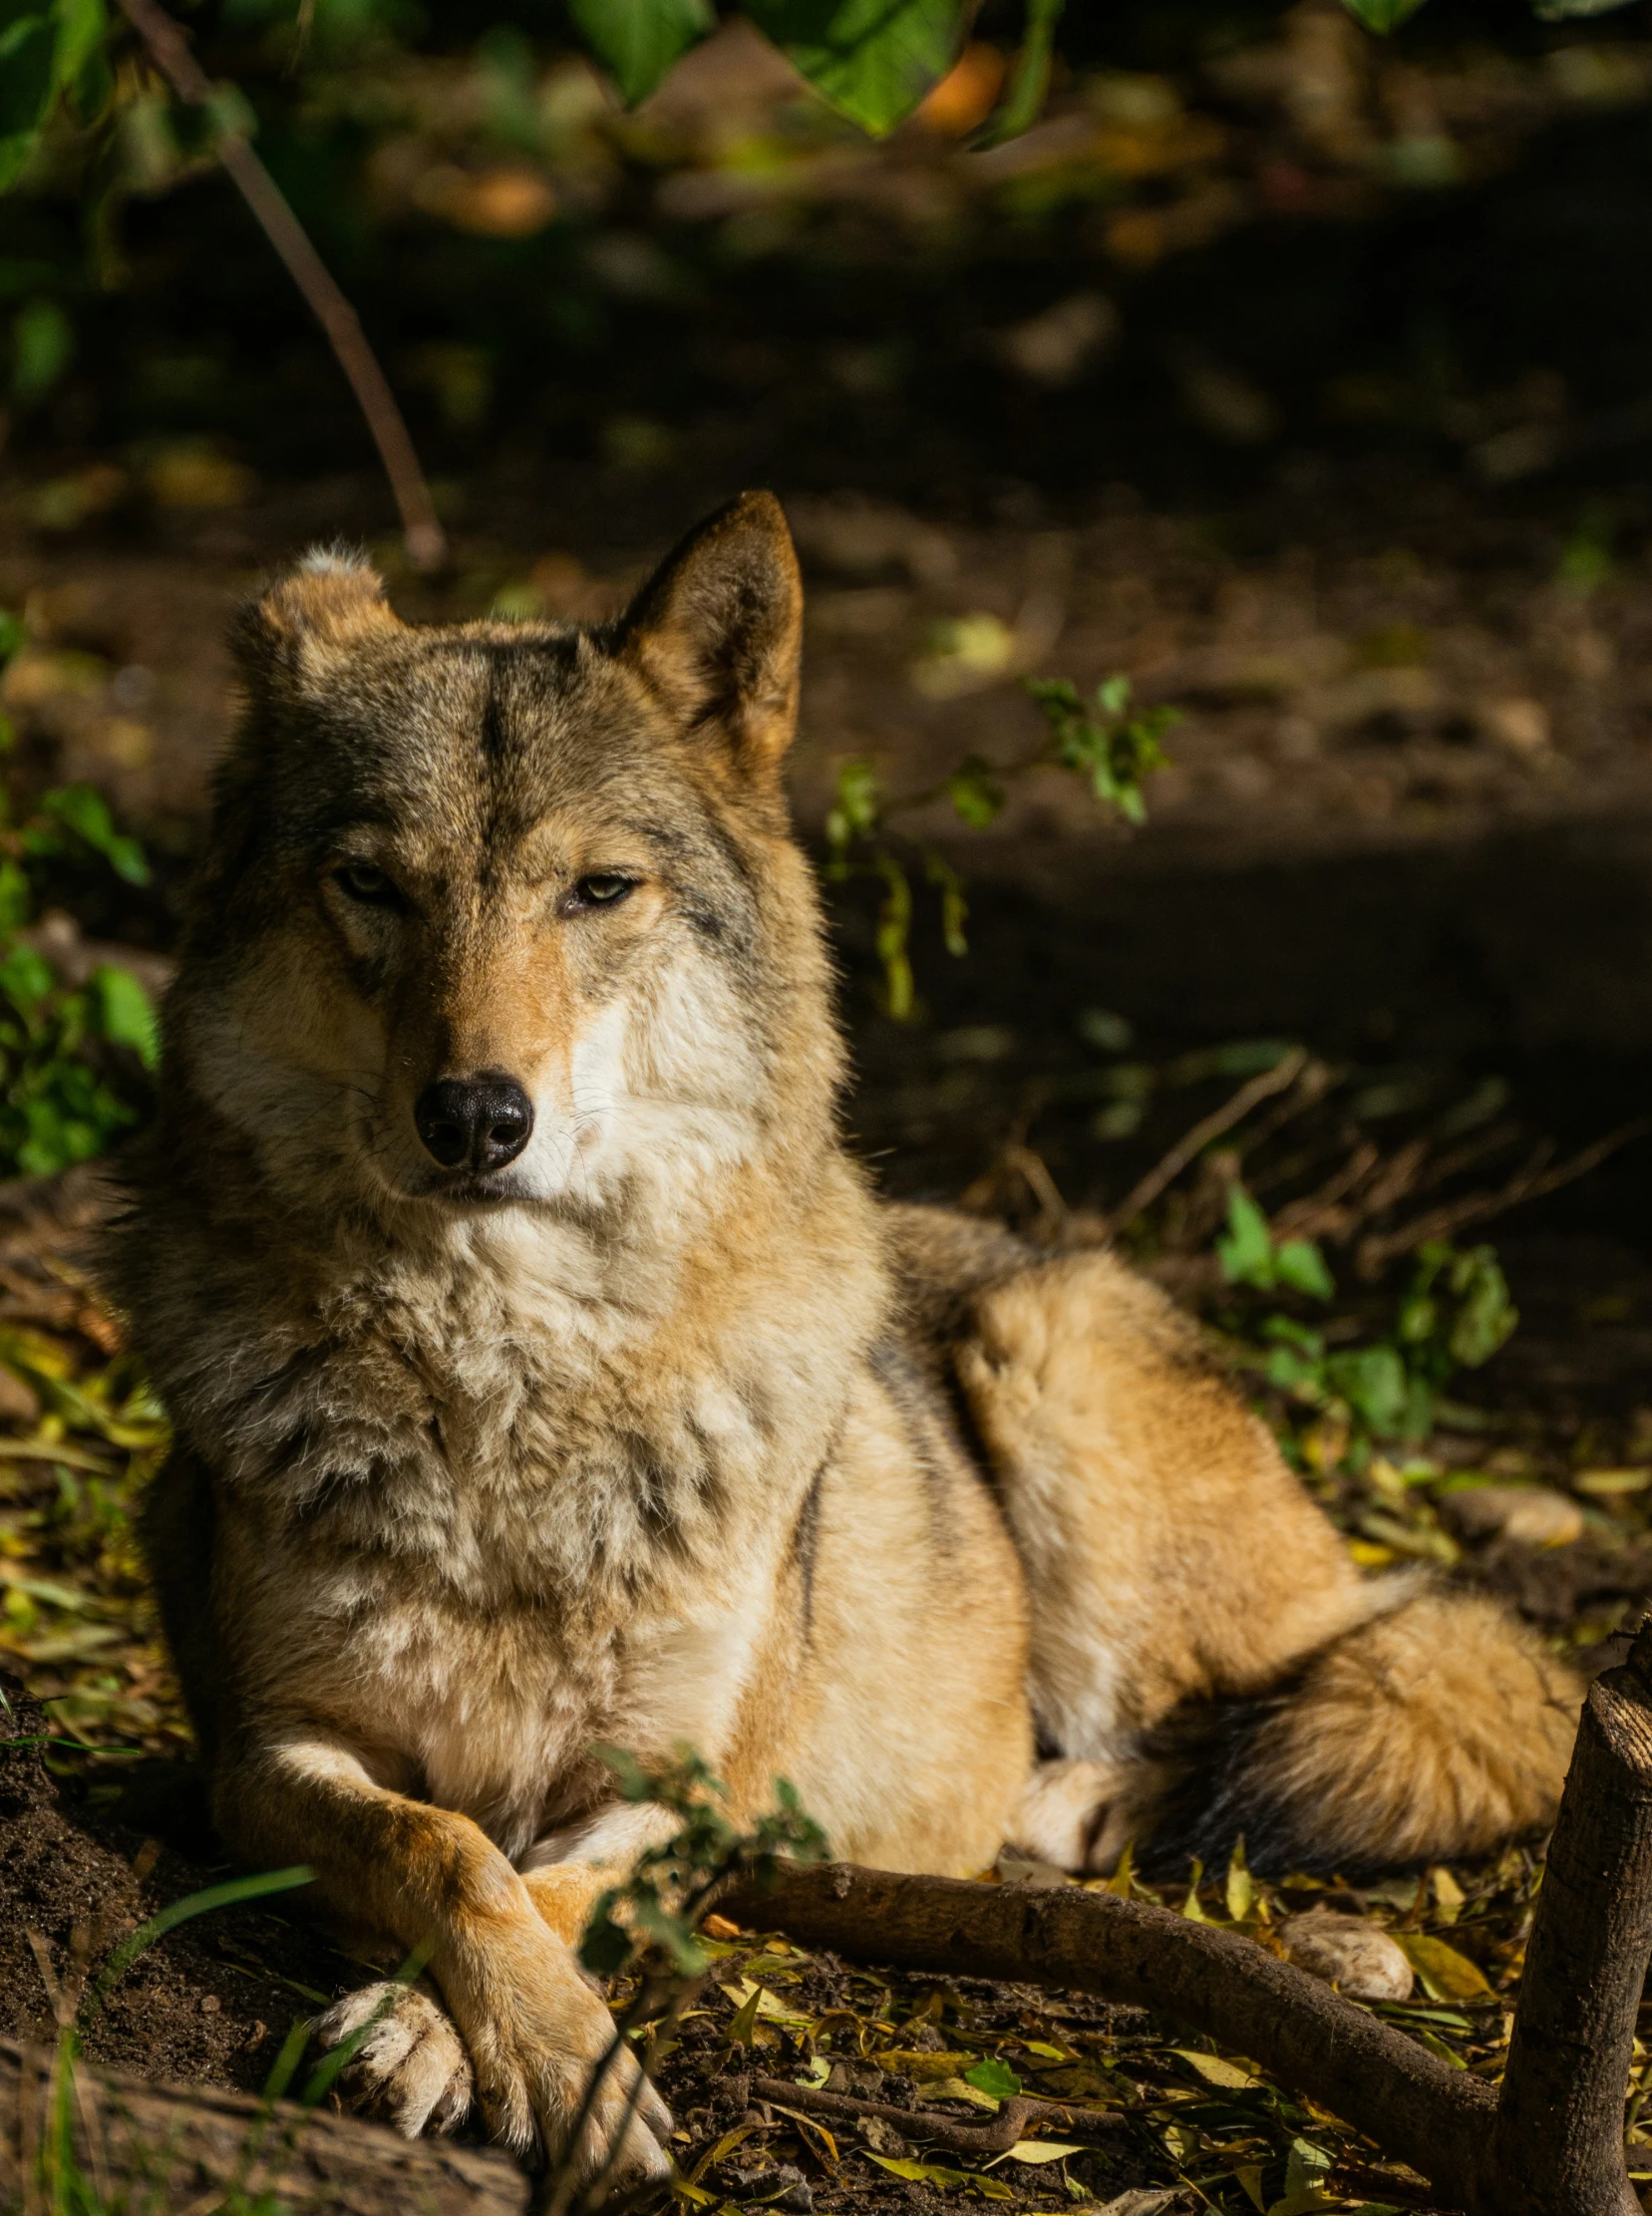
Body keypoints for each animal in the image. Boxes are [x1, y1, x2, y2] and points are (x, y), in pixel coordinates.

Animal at [110, 498, 1578, 2180]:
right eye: (370, 884)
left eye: (596, 890)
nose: (476, 1115)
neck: (512, 1388)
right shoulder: (262, 1749)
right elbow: (452, 1843)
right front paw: (498, 2036)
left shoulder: (697, 1788)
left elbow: (542, 1877)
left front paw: (527, 2052)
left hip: (1057, 1368)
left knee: (1288, 1700)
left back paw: (1065, 1807)